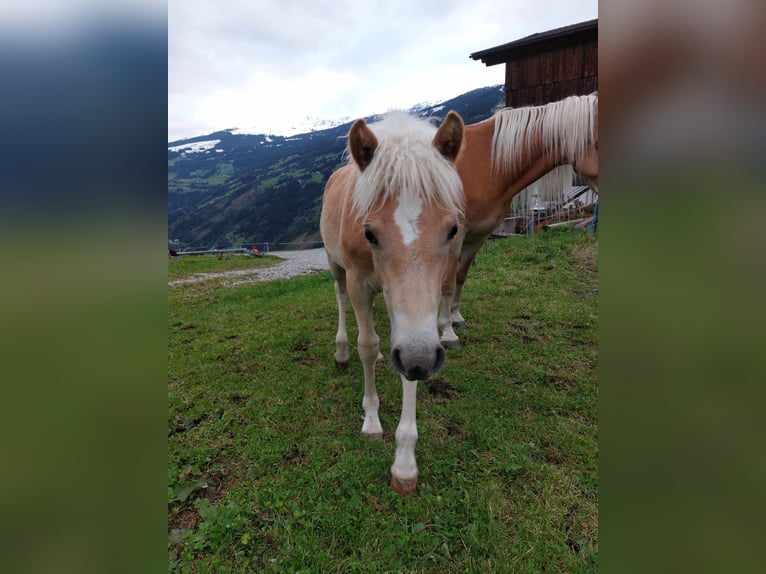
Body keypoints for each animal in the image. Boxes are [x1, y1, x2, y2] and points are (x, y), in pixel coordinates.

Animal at [320, 111, 464, 496]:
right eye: (369, 233)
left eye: (452, 230)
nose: (420, 359)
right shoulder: (358, 281)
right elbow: (367, 346)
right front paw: (371, 419)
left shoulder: (415, 314)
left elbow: (408, 362)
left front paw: (404, 462)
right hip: (335, 266)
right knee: (341, 301)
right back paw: (341, 351)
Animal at [438, 95, 600, 348]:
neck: (486, 161)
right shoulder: (456, 234)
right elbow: (446, 281)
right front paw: (447, 332)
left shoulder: (478, 235)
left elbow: (460, 276)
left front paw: (456, 318)